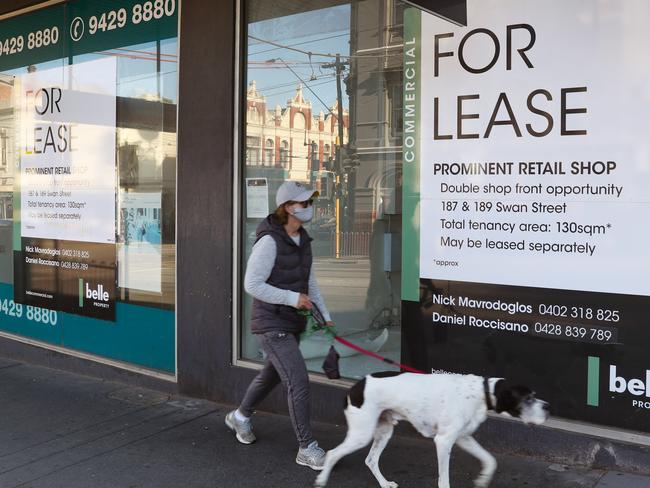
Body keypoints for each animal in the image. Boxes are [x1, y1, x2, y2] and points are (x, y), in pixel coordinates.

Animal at [314, 372, 548, 486]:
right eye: (528, 398)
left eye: (534, 395)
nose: (547, 407)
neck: (483, 393)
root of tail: (354, 387)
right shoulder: (443, 441)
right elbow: (443, 479)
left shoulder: (463, 438)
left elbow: (490, 460)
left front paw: (483, 479)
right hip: (361, 434)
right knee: (333, 453)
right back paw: (322, 480)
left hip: (384, 431)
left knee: (370, 460)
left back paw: (385, 484)